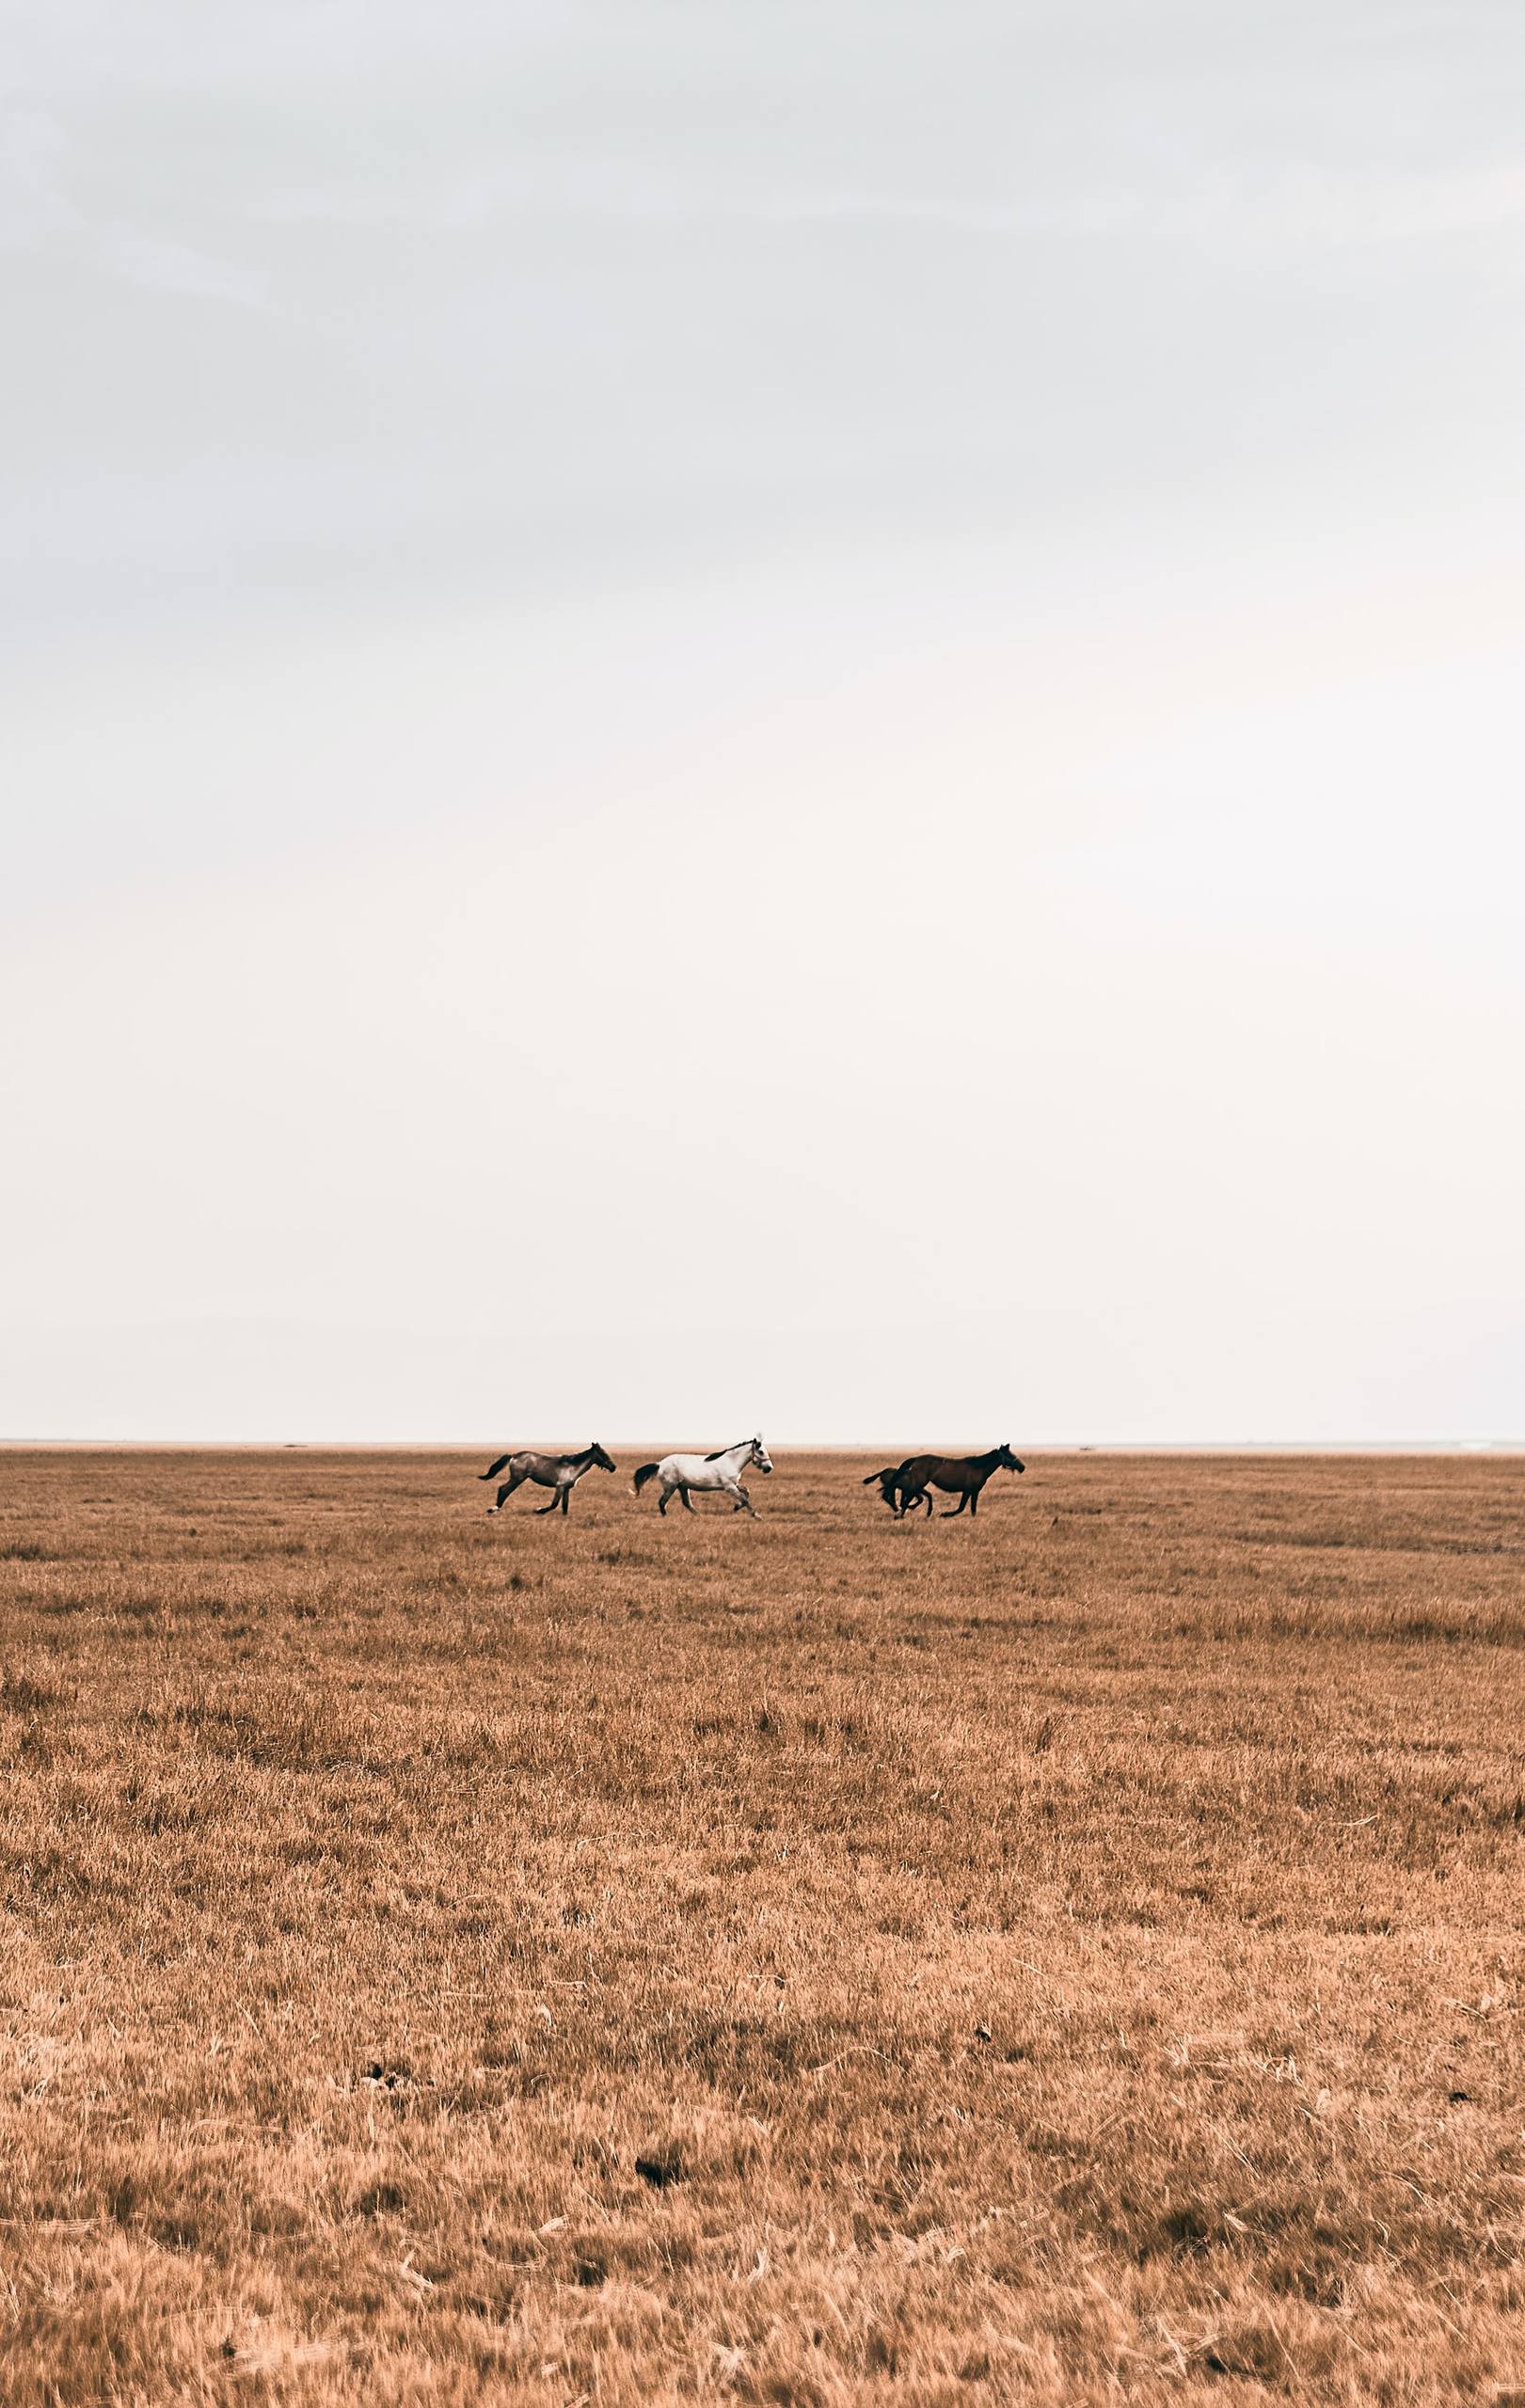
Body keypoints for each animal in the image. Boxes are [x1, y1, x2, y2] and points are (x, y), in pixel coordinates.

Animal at [479, 1434, 616, 1512]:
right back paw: (494, 1508)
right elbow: (554, 1505)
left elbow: (565, 1507)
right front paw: (539, 1510)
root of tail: (514, 1456)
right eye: (602, 1453)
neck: (573, 1466)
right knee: (504, 1489)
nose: (613, 1467)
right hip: (517, 1479)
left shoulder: (566, 1489)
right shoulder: (559, 1487)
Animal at [630, 1434, 770, 1512]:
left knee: (687, 1503)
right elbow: (745, 1499)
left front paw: (736, 1507)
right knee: (662, 1502)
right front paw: (757, 1516)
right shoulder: (729, 1487)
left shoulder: (734, 1484)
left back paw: (698, 1516)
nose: (769, 1468)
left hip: (682, 1486)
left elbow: (747, 1492)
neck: (731, 1461)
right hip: (671, 1487)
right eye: (761, 1451)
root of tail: (660, 1464)